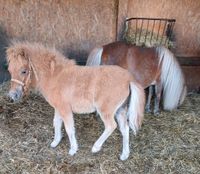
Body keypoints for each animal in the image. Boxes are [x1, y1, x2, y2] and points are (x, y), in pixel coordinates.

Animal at [5, 41, 144, 160]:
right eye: (9, 70)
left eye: (23, 71)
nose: (13, 95)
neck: (55, 76)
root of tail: (129, 79)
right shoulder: (58, 108)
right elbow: (56, 123)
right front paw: (55, 142)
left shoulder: (65, 109)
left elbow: (69, 128)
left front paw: (73, 149)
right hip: (121, 109)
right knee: (125, 129)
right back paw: (124, 155)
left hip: (106, 110)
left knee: (111, 126)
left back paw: (96, 147)